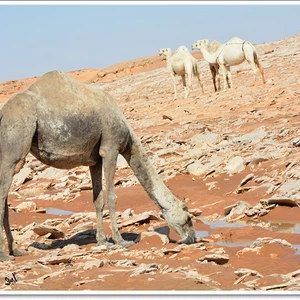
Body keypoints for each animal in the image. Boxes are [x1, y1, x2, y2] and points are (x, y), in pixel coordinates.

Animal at [0, 70, 196, 260]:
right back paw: (5, 255)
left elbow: (98, 200)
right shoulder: (110, 148)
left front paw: (102, 241)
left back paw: (16, 250)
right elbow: (111, 196)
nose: (193, 238)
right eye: (188, 218)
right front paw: (121, 240)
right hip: (13, 152)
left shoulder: (94, 160)